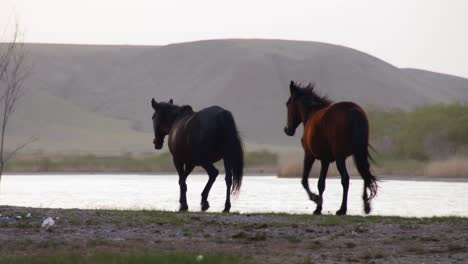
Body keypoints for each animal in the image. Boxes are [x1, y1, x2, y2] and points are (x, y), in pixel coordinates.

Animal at [284, 81, 378, 216]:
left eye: (288, 103)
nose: (287, 130)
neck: (311, 114)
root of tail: (353, 111)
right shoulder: (326, 160)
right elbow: (321, 183)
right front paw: (318, 205)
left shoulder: (310, 155)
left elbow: (306, 181)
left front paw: (316, 201)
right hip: (358, 153)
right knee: (365, 173)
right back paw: (366, 205)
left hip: (340, 157)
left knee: (345, 179)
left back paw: (342, 209)